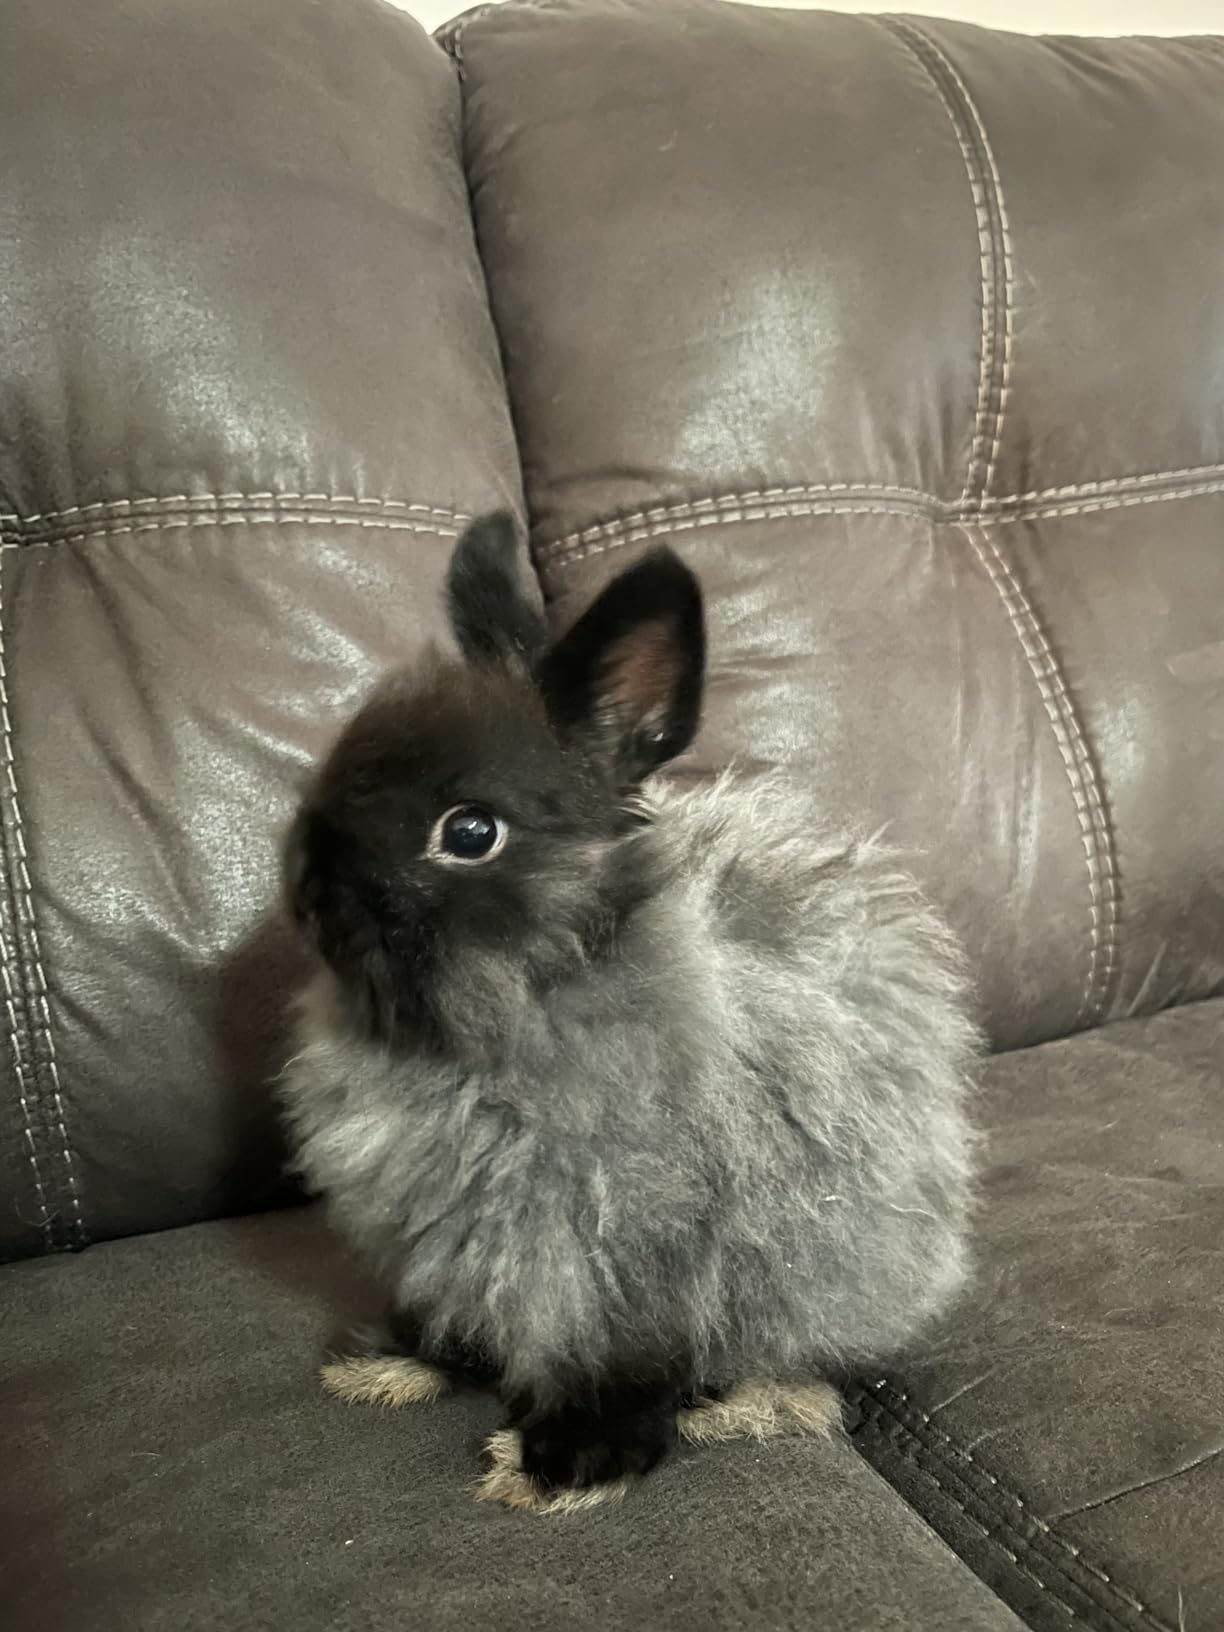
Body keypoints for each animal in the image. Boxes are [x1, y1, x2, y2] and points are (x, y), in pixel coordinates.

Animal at [279, 511, 979, 1514]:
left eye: (470, 833)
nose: (305, 892)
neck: (514, 1009)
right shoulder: (455, 1239)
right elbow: (458, 1311)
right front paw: (397, 1361)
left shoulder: (633, 1248)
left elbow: (624, 1358)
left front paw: (567, 1464)